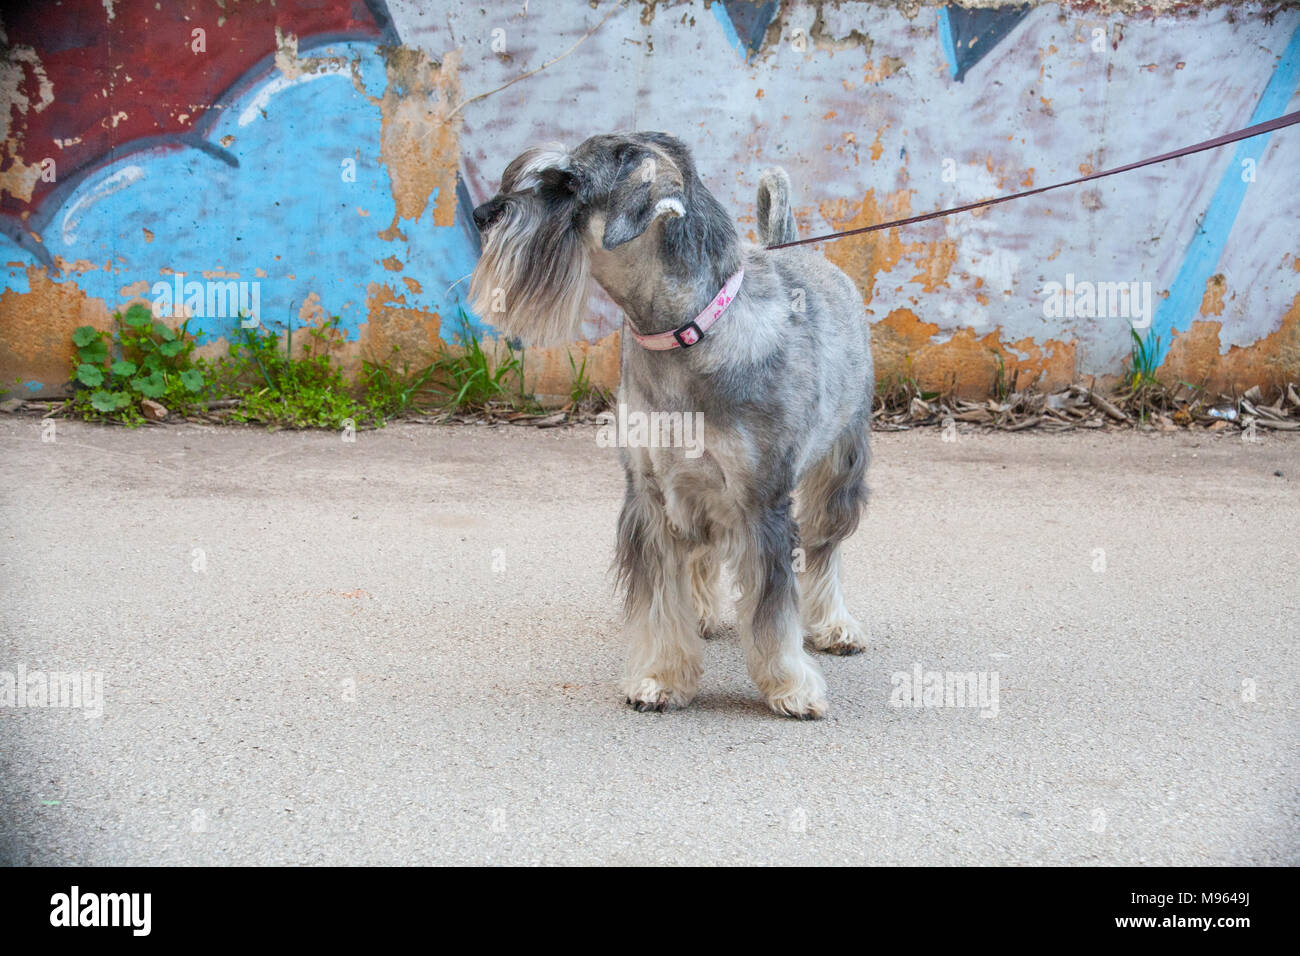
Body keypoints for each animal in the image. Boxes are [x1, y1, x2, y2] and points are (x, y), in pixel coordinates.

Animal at [467, 132, 873, 717]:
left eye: (567, 184)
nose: (481, 215)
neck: (686, 333)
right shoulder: (650, 493)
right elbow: (661, 597)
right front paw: (660, 677)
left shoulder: (764, 500)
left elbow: (773, 609)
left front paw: (789, 686)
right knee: (700, 552)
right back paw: (703, 613)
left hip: (838, 467)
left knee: (823, 550)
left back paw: (834, 625)